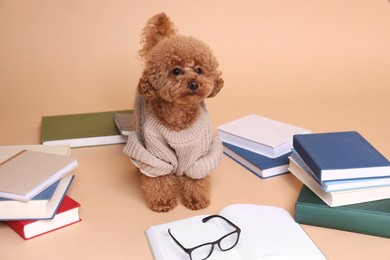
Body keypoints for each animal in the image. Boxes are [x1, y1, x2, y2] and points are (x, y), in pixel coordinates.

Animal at [124, 12, 222, 211]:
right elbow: (159, 178)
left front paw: (196, 200)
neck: (178, 117)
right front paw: (162, 201)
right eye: (176, 70)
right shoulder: (156, 150)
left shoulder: (198, 154)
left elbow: (195, 178)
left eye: (199, 70)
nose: (193, 83)